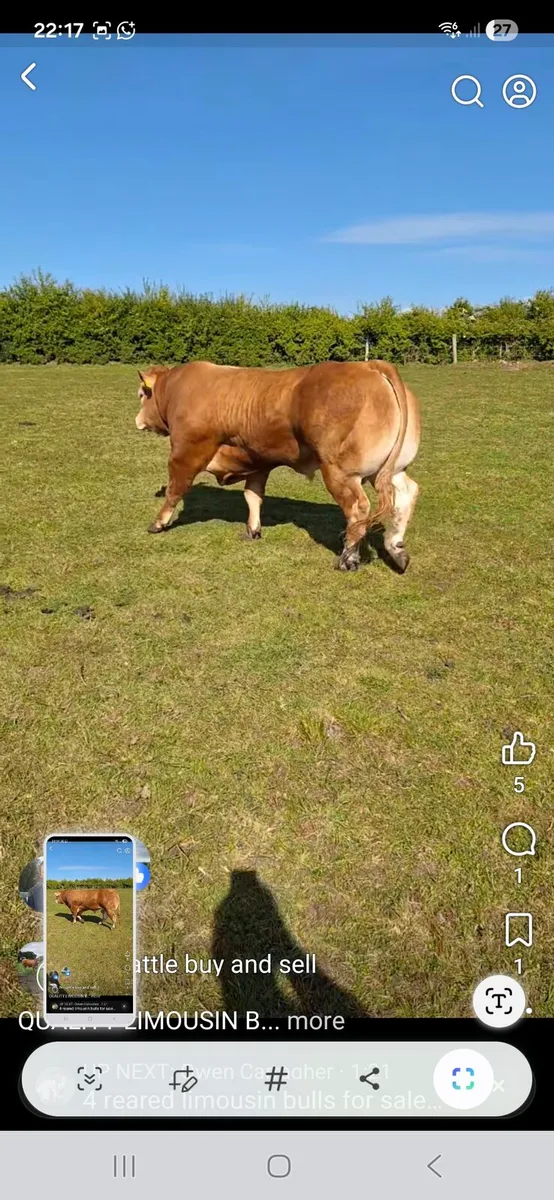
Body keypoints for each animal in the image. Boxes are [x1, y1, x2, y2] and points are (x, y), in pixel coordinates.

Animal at [135, 359, 421, 573]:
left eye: (141, 395)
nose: (137, 420)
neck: (176, 390)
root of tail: (369, 365)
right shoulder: (258, 461)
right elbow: (252, 496)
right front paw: (252, 529)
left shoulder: (186, 452)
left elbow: (175, 489)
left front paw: (158, 523)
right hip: (390, 469)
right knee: (406, 494)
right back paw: (396, 549)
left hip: (340, 471)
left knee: (358, 508)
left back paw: (348, 558)